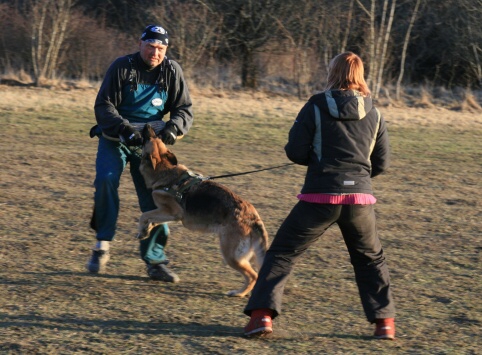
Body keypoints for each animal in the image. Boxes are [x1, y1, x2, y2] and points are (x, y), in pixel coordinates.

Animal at [137, 125, 270, 298]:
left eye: (150, 137)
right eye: (156, 137)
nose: (147, 126)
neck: (164, 170)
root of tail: (253, 218)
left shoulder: (173, 212)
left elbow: (144, 215)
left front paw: (142, 229)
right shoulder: (169, 214)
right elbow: (152, 219)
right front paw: (146, 230)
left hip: (231, 255)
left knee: (253, 275)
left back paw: (239, 293)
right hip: (249, 254)